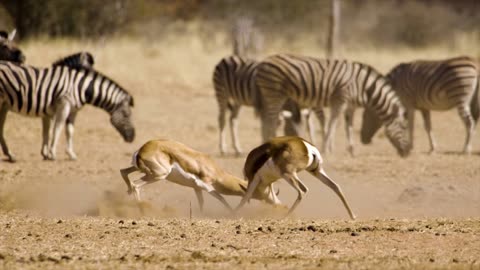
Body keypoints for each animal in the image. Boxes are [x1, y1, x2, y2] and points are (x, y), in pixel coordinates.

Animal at [0, 60, 135, 162]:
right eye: (126, 115)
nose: (133, 137)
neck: (82, 87)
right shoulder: (64, 104)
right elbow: (58, 128)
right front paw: (52, 153)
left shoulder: (72, 110)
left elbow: (67, 131)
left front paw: (69, 154)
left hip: (4, 105)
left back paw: (10, 155)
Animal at [119, 140, 282, 212]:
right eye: (262, 193)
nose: (278, 203)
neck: (214, 170)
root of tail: (142, 150)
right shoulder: (206, 186)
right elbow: (222, 198)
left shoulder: (196, 188)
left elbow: (202, 203)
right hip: (158, 175)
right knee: (135, 185)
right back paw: (141, 208)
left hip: (142, 170)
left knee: (123, 172)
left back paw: (128, 193)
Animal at [256, 53, 410, 157]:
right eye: (403, 127)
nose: (408, 152)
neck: (363, 87)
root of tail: (264, 62)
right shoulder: (340, 100)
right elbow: (332, 124)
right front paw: (326, 149)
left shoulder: (350, 106)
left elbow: (349, 127)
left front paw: (351, 150)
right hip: (275, 93)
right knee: (270, 121)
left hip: (272, 95)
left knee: (267, 120)